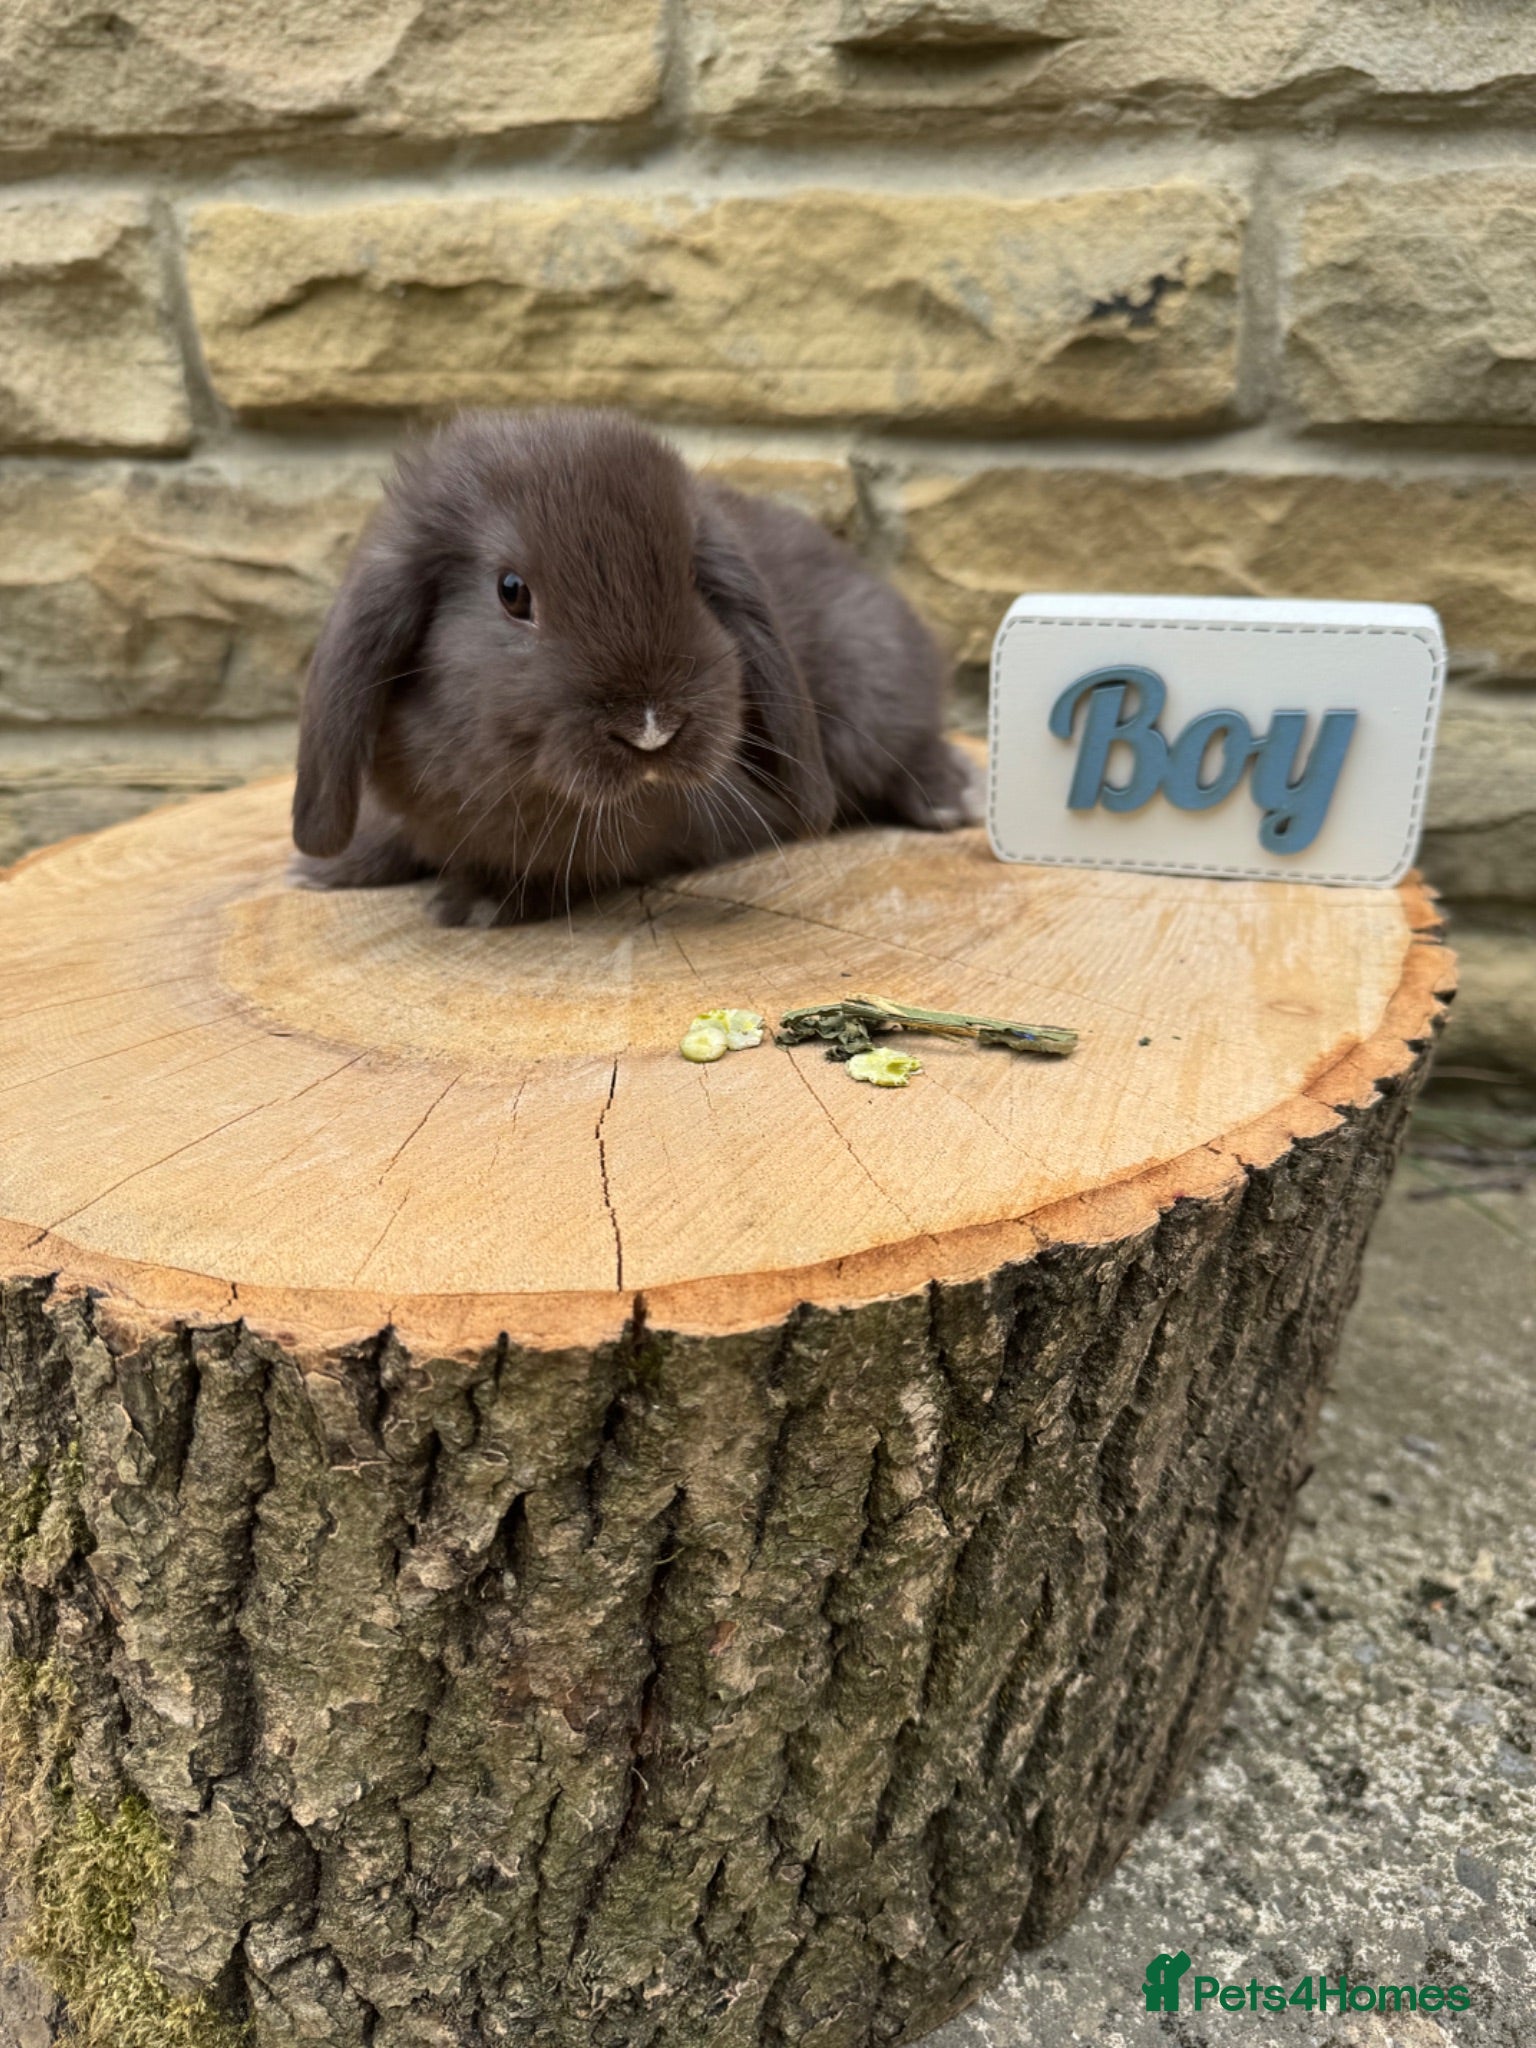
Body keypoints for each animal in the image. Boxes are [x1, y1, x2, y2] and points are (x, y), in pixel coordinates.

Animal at [291, 408, 976, 925]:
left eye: (693, 577)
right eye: (511, 591)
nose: (651, 726)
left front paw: (483, 901)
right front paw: (326, 868)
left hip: (873, 690)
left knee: (912, 749)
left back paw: (953, 799)